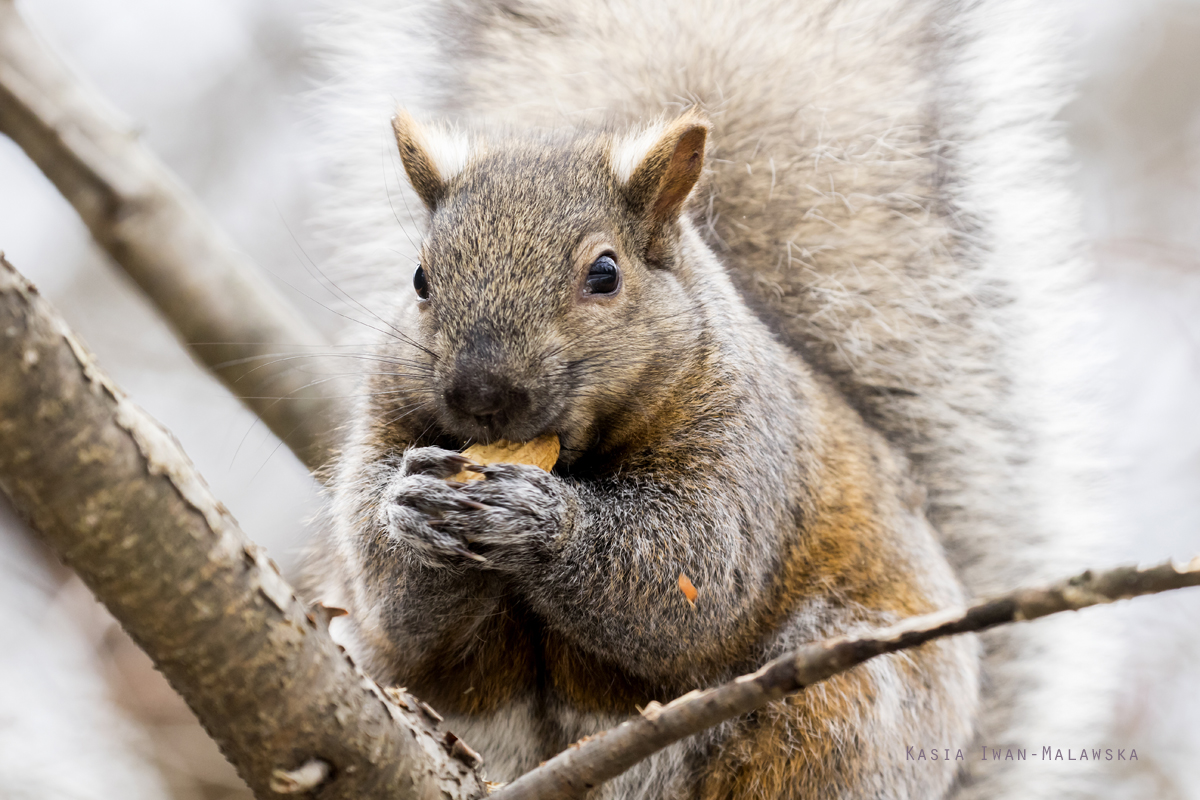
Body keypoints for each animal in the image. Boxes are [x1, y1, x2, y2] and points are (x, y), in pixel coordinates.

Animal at [307, 0, 1113, 796]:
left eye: (605, 273)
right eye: (419, 278)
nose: (481, 393)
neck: (574, 456)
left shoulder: (748, 449)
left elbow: (692, 569)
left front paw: (536, 519)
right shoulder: (388, 415)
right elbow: (391, 598)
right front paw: (407, 507)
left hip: (837, 711)